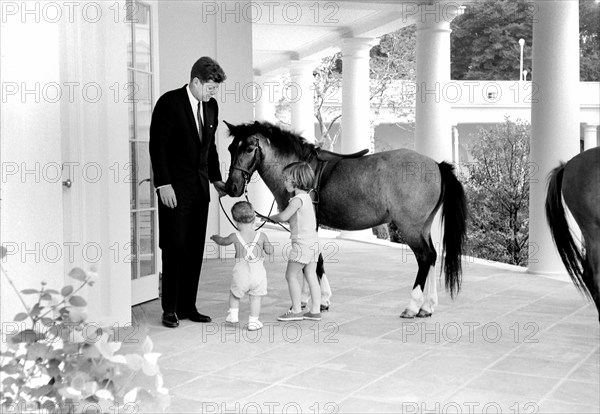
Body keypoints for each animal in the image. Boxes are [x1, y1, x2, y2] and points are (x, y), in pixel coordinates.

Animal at [223, 119, 466, 316]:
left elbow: (312, 260)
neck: (299, 168)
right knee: (433, 256)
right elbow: (310, 259)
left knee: (424, 257)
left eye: (249, 148)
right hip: (423, 226)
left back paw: (413, 306)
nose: (232, 187)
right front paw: (310, 299)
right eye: (231, 148)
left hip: (410, 227)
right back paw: (427, 306)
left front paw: (318, 300)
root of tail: (436, 165)